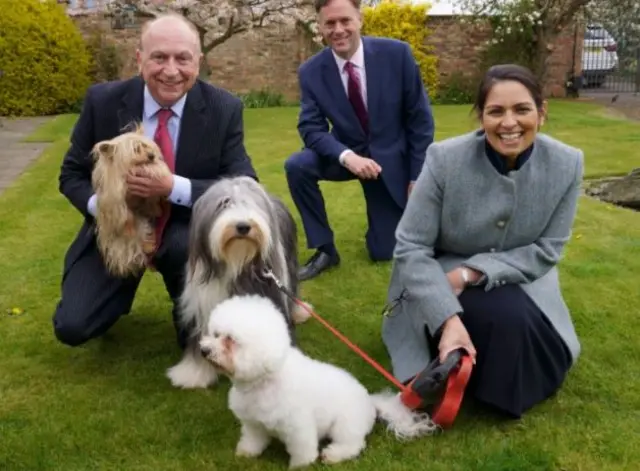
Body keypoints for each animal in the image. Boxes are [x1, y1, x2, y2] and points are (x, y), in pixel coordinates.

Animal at [89, 127, 172, 278]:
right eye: (136, 149)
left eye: (146, 146)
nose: (151, 155)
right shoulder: (115, 199)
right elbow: (125, 215)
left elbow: (151, 199)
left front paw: (156, 209)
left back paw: (149, 246)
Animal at [165, 177, 310, 390]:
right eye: (224, 204)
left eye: (251, 204)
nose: (243, 226)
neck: (237, 260)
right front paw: (193, 374)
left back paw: (299, 311)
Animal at [201, 296, 440, 468]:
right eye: (215, 334)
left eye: (231, 340)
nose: (204, 350)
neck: (264, 381)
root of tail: (370, 402)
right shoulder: (253, 423)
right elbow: (253, 440)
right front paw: (246, 453)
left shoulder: (298, 427)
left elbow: (303, 450)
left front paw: (300, 466)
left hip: (345, 425)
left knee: (353, 444)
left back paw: (333, 455)